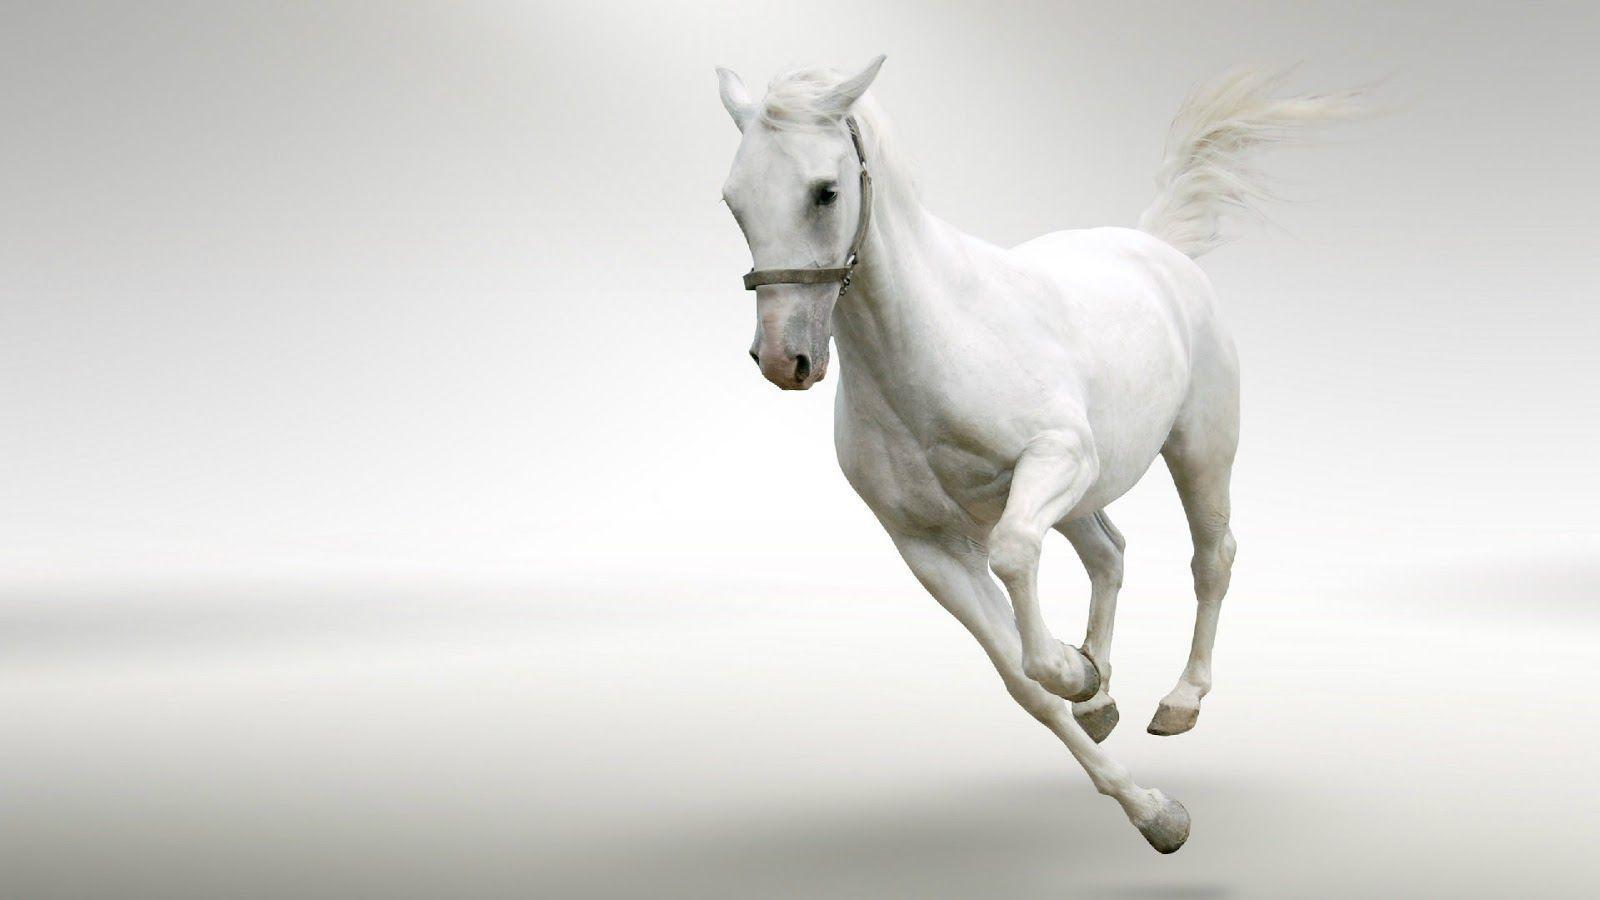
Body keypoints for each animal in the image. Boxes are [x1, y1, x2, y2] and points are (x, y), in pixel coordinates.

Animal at [715, 56, 1364, 853]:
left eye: (824, 191)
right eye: (735, 202)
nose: (785, 360)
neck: (934, 342)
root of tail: (1157, 247)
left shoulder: (1054, 459)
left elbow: (1017, 557)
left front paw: (1079, 679)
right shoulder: (926, 546)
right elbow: (1023, 683)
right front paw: (1149, 802)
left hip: (1198, 448)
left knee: (1212, 558)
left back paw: (1179, 701)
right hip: (1088, 493)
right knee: (1110, 554)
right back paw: (1102, 694)